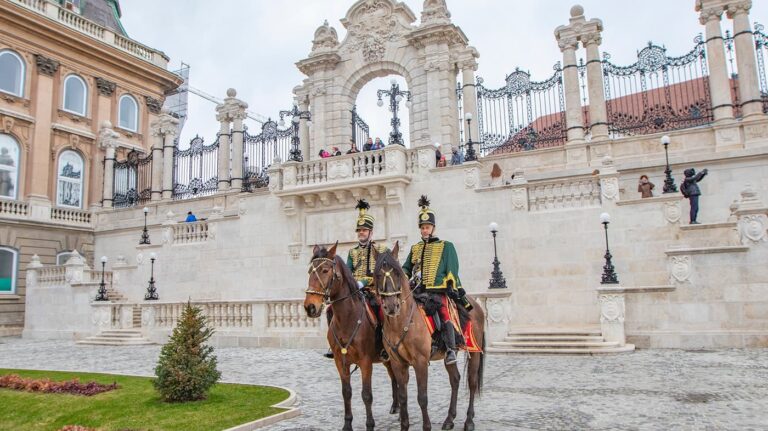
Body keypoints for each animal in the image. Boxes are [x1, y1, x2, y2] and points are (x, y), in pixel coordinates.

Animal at [304, 245, 400, 430]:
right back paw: (395, 406)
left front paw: (370, 424)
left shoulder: (365, 362)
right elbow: (346, 392)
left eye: (325, 270)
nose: (310, 307)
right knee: (393, 376)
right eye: (310, 271)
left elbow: (366, 394)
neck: (347, 318)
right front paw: (347, 424)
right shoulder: (340, 362)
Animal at [372, 243, 486, 431]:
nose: (391, 306)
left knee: (472, 382)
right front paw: (404, 425)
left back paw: (469, 420)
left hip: (474, 351)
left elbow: (422, 397)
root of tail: (476, 305)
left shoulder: (420, 362)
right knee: (455, 379)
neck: (401, 323)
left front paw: (427, 426)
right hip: (449, 354)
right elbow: (403, 397)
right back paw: (449, 419)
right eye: (377, 274)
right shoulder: (397, 363)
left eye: (397, 273)